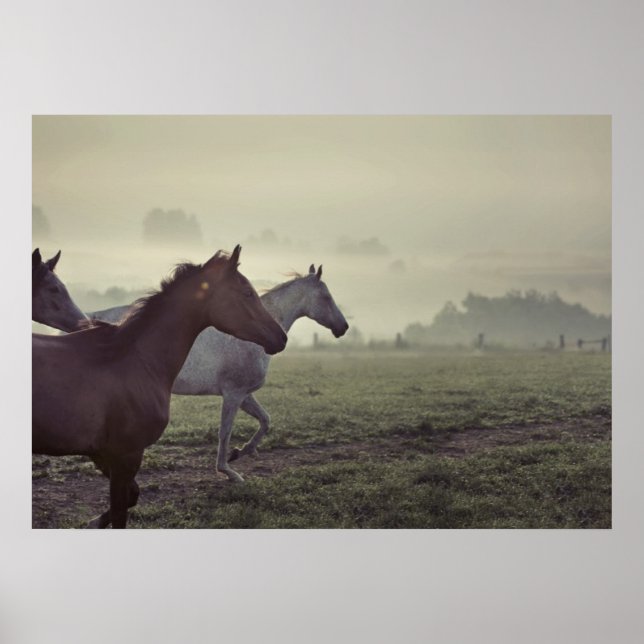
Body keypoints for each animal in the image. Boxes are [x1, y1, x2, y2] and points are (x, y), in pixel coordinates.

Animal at [32, 246, 287, 528]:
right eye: (247, 293)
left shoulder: (102, 453)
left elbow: (132, 496)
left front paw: (93, 522)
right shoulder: (126, 454)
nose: (281, 337)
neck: (137, 360)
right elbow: (121, 510)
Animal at [91, 264, 348, 482]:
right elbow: (225, 432)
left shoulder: (244, 395)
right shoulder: (233, 394)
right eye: (326, 297)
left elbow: (265, 420)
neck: (251, 336)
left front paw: (242, 451)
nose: (343, 327)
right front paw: (228, 471)